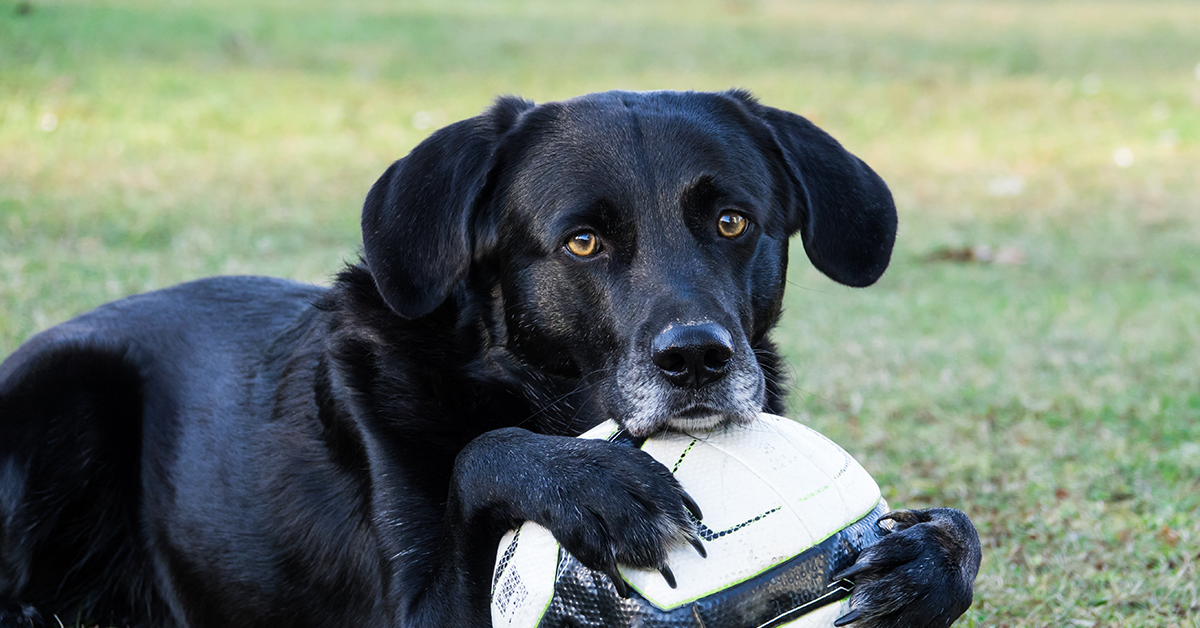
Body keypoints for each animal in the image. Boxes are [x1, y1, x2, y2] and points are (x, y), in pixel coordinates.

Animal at [0, 89, 979, 628]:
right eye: (582, 242)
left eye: (733, 222)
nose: (698, 360)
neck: (529, 392)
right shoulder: (423, 607)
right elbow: (481, 453)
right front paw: (598, 487)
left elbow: (958, 536)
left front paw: (927, 561)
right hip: (63, 391)